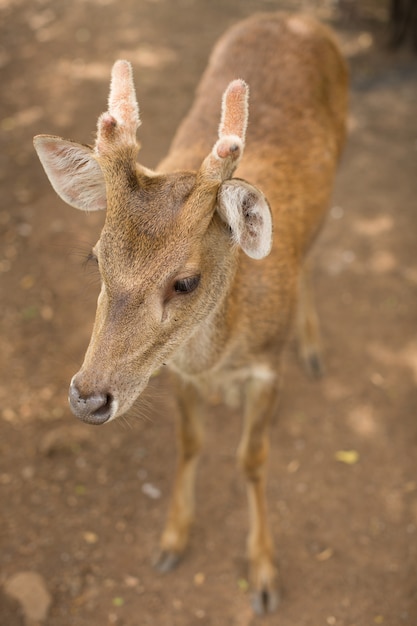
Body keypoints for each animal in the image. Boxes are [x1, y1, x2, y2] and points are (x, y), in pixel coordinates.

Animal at [33, 12, 348, 612]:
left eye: (185, 281)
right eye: (96, 257)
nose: (87, 397)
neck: (221, 354)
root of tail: (296, 16)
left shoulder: (267, 368)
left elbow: (252, 459)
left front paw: (264, 574)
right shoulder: (174, 368)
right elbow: (189, 442)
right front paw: (172, 540)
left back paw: (316, 347)